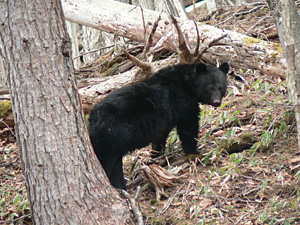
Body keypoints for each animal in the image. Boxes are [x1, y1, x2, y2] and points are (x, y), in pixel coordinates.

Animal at [88, 62, 229, 190]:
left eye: (221, 87)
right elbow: (188, 125)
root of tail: (92, 118)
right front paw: (194, 152)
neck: (187, 83)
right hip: (111, 133)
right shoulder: (181, 100)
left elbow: (160, 135)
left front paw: (155, 155)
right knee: (105, 159)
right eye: (210, 87)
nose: (217, 102)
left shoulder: (163, 118)